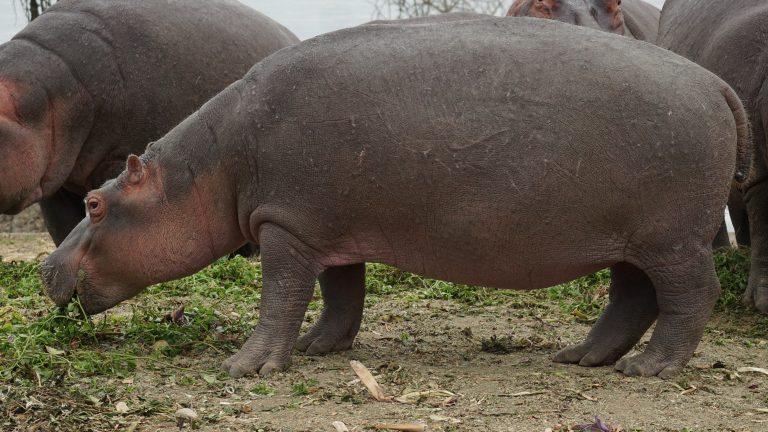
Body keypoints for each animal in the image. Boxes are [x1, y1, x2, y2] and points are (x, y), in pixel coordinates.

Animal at [43, 17, 749, 379]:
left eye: (95, 204)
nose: (47, 266)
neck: (211, 164)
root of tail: (716, 84)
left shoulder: (285, 226)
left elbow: (279, 298)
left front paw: (247, 367)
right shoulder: (324, 227)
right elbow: (340, 295)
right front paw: (319, 348)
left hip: (672, 239)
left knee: (691, 296)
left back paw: (651, 371)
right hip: (637, 239)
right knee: (632, 298)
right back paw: (581, 358)